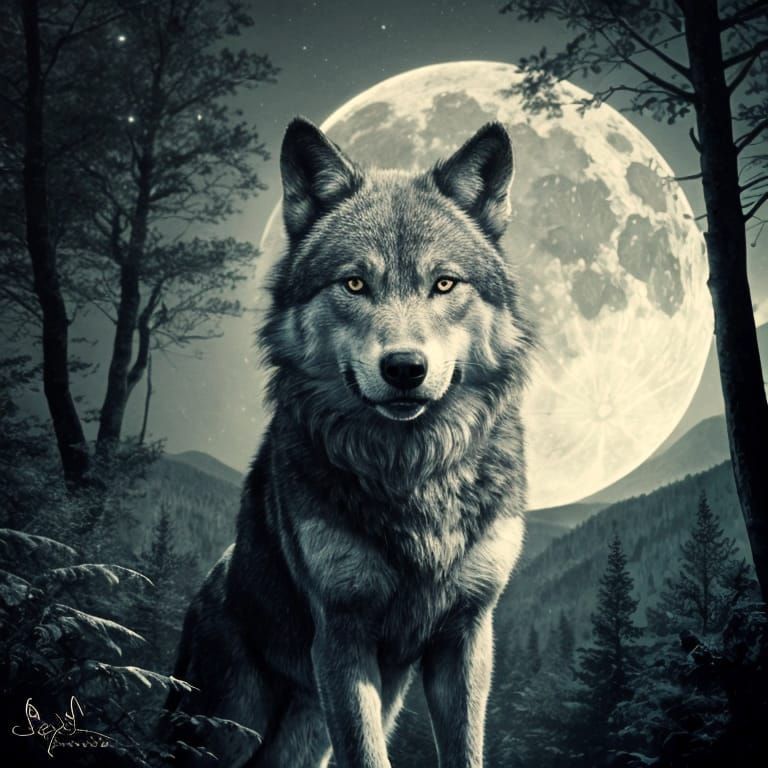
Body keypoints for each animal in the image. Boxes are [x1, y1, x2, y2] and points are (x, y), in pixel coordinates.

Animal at [165, 117, 534, 768]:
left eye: (444, 284)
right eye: (355, 283)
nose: (405, 368)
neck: (412, 474)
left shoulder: (465, 634)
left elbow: (464, 750)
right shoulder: (341, 635)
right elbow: (367, 756)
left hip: (315, 731)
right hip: (230, 728)